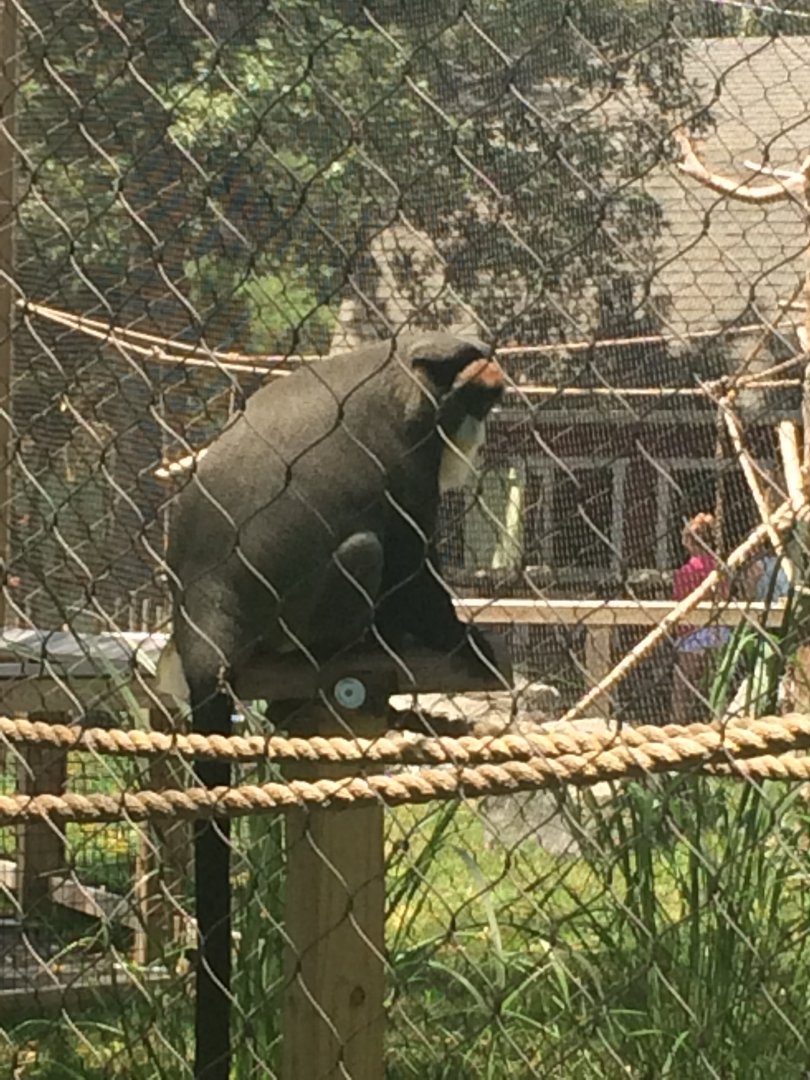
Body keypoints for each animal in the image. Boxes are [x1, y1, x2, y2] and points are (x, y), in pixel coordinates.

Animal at [159, 331, 505, 1080]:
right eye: (477, 399)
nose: (480, 436)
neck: (402, 369)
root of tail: (202, 625)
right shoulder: (407, 454)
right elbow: (409, 565)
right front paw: (466, 642)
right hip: (304, 614)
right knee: (366, 550)